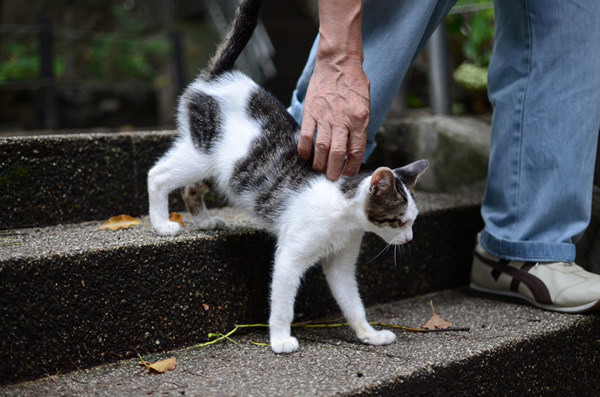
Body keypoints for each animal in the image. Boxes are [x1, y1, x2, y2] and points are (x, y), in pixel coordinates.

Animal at [146, 0, 428, 352]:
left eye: (412, 222)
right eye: (398, 221)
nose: (410, 239)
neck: (344, 213)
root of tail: (220, 77)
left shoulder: (341, 263)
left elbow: (352, 301)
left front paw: (369, 334)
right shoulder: (290, 256)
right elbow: (282, 301)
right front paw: (280, 338)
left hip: (223, 170)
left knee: (190, 190)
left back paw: (206, 221)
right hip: (201, 152)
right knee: (157, 174)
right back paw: (161, 223)